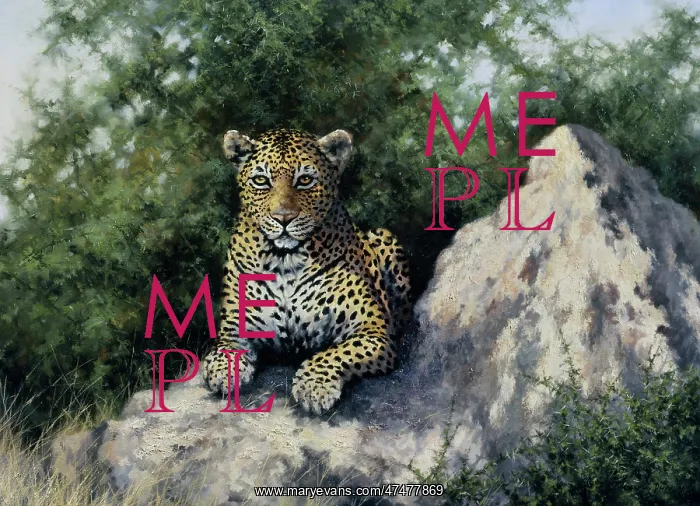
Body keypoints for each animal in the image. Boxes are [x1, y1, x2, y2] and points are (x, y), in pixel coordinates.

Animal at [201, 127, 411, 415]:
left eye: (305, 180)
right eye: (260, 180)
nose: (283, 218)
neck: (285, 260)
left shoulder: (372, 332)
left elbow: (335, 353)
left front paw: (314, 387)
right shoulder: (233, 331)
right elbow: (223, 351)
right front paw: (223, 373)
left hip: (385, 238)